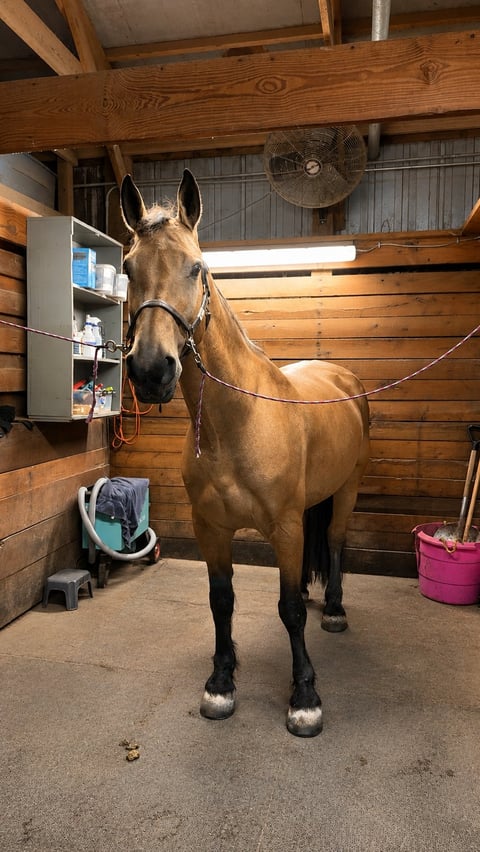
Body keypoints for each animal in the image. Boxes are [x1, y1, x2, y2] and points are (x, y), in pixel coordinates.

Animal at [120, 169, 370, 738]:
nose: (151, 371)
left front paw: (305, 696)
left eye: (197, 268)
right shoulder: (210, 528)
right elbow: (221, 600)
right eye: (127, 268)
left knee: (335, 543)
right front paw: (221, 681)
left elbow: (288, 609)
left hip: (346, 491)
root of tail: (343, 377)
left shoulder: (285, 527)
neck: (235, 425)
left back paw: (334, 609)